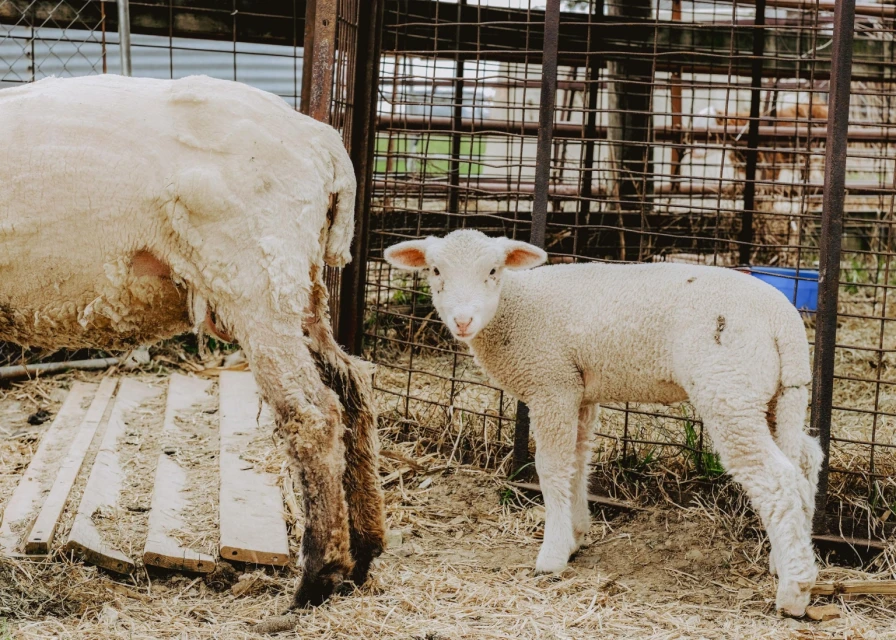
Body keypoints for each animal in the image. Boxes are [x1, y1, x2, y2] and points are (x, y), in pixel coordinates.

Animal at [0, 74, 385, 607]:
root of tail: (323, 141)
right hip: (300, 284)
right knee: (351, 387)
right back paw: (364, 552)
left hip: (255, 277)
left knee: (312, 413)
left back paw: (317, 578)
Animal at [384, 229, 823, 617]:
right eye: (435, 270)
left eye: (494, 270)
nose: (462, 321)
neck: (516, 306)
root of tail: (783, 321)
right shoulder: (577, 390)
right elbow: (577, 463)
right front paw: (576, 534)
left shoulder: (551, 384)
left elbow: (552, 468)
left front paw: (552, 554)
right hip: (772, 392)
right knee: (805, 461)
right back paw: (788, 559)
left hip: (728, 385)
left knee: (777, 479)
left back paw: (795, 592)